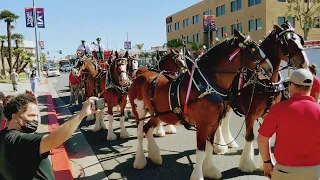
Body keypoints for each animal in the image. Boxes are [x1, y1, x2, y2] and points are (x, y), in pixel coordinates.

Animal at [129, 30, 272, 179]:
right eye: (253, 48)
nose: (270, 68)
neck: (207, 84)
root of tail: (139, 76)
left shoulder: (213, 123)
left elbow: (209, 146)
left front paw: (210, 169)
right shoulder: (202, 124)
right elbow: (201, 151)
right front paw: (198, 175)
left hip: (158, 114)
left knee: (147, 129)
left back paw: (155, 156)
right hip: (139, 111)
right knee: (140, 132)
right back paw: (140, 160)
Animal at [214, 23, 308, 172]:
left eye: (300, 39)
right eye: (287, 42)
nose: (304, 64)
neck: (264, 80)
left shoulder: (268, 113)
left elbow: (266, 137)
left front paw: (266, 164)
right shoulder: (250, 114)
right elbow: (250, 136)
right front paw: (247, 164)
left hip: (229, 104)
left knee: (225, 120)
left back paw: (229, 143)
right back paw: (219, 147)